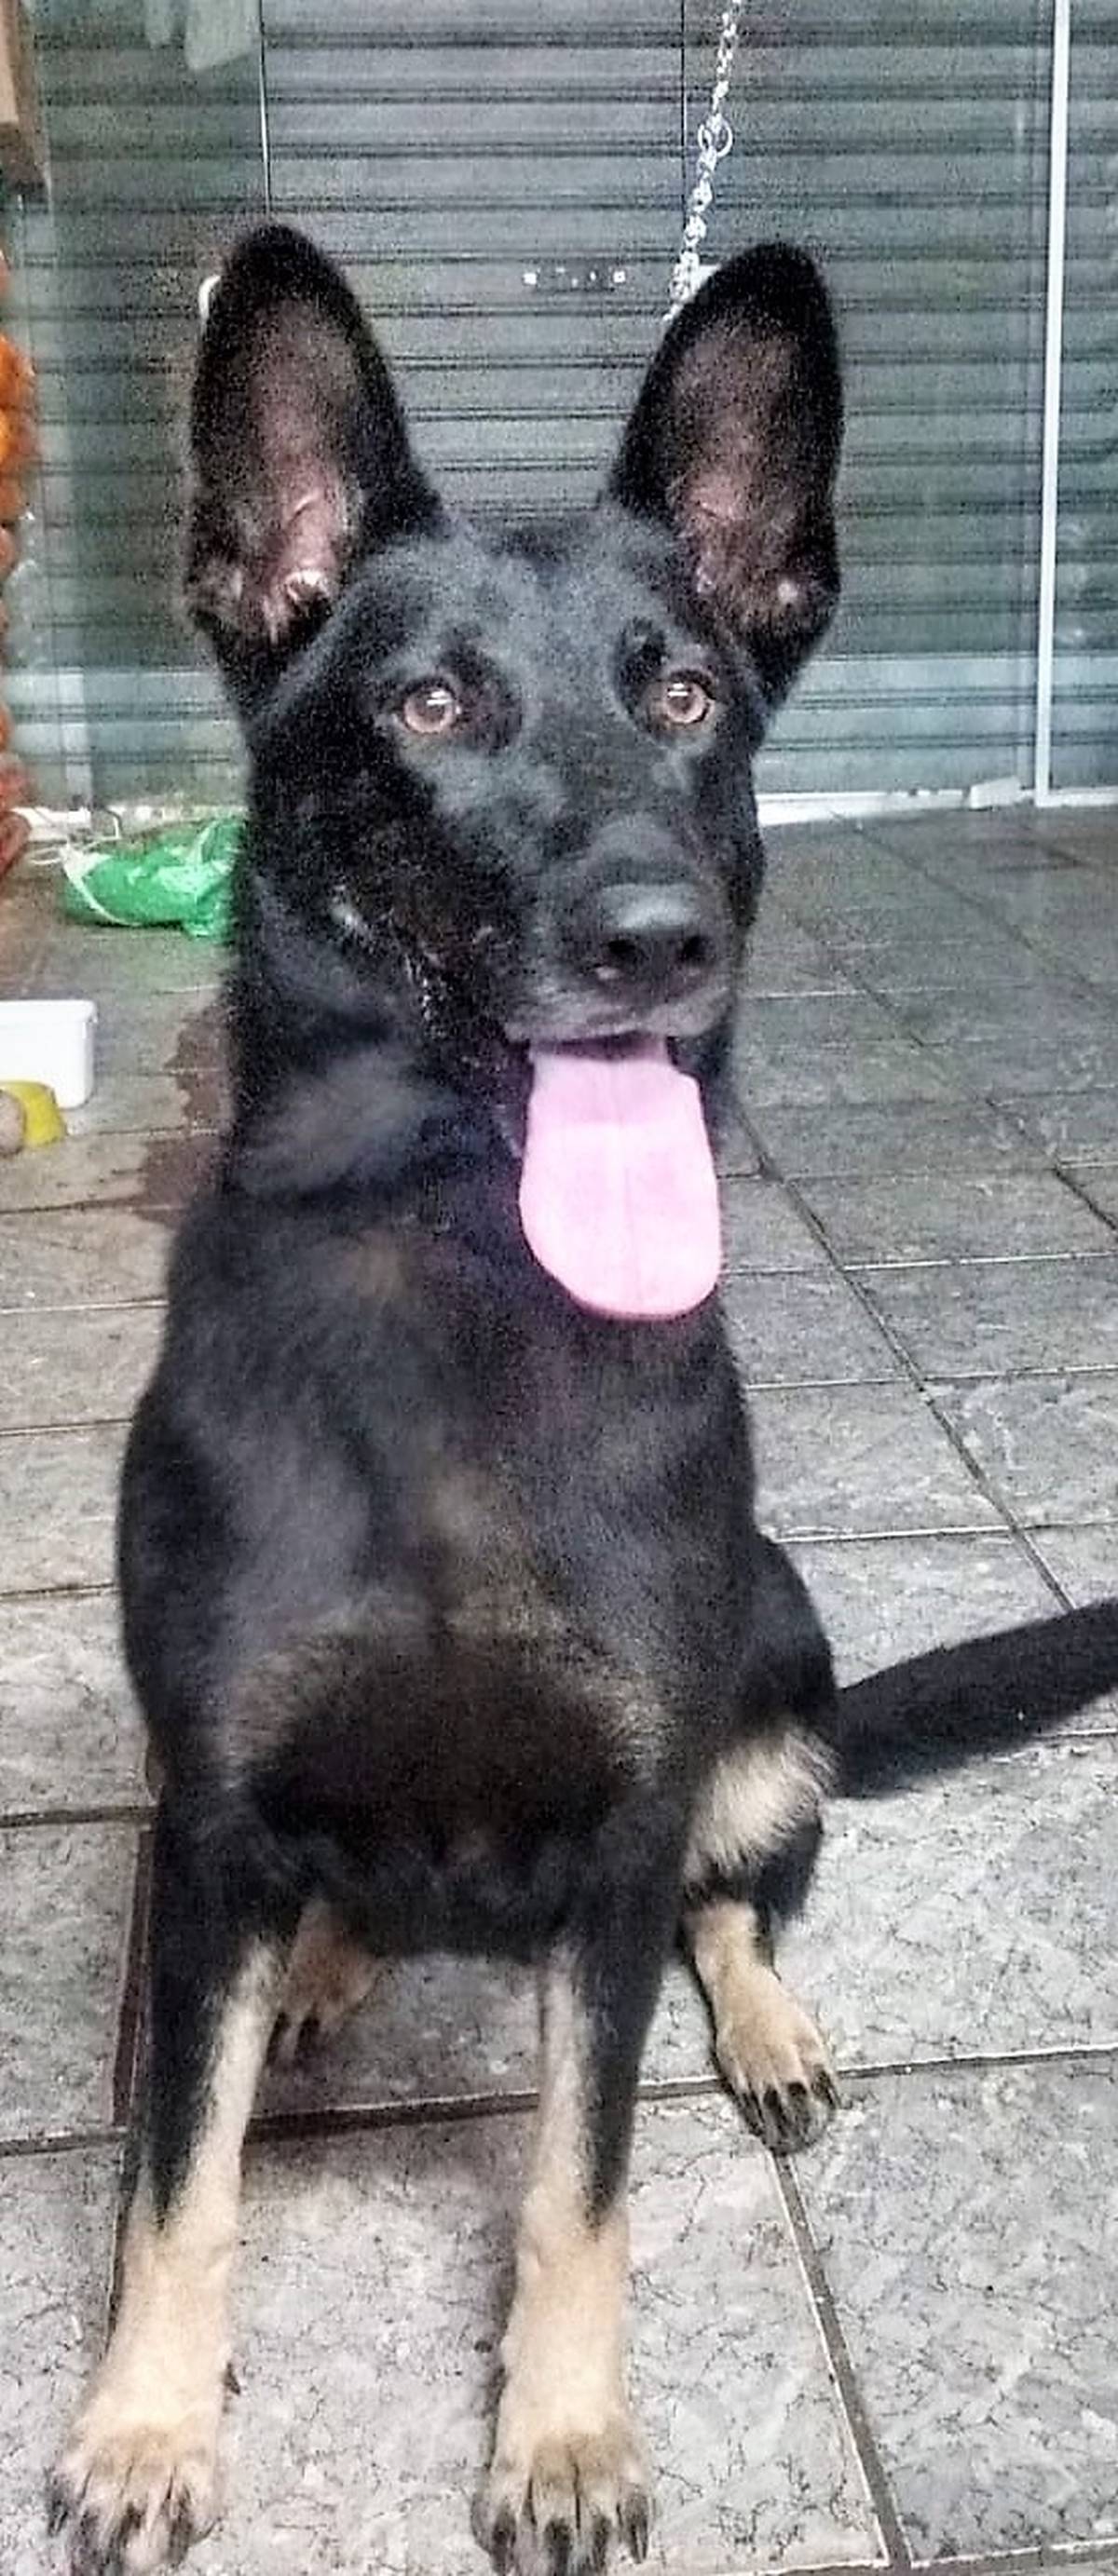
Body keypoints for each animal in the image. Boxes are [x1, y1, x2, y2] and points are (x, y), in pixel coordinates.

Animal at [49, 225, 1118, 2576]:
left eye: (687, 699)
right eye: (432, 707)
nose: (656, 939)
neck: (469, 1267)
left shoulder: (623, 1831)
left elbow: (578, 2181)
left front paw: (559, 2437)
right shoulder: (205, 1826)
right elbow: (179, 2181)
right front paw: (150, 2420)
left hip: (780, 1653)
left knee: (744, 1887)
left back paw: (769, 2021)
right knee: (333, 1922)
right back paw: (336, 1964)